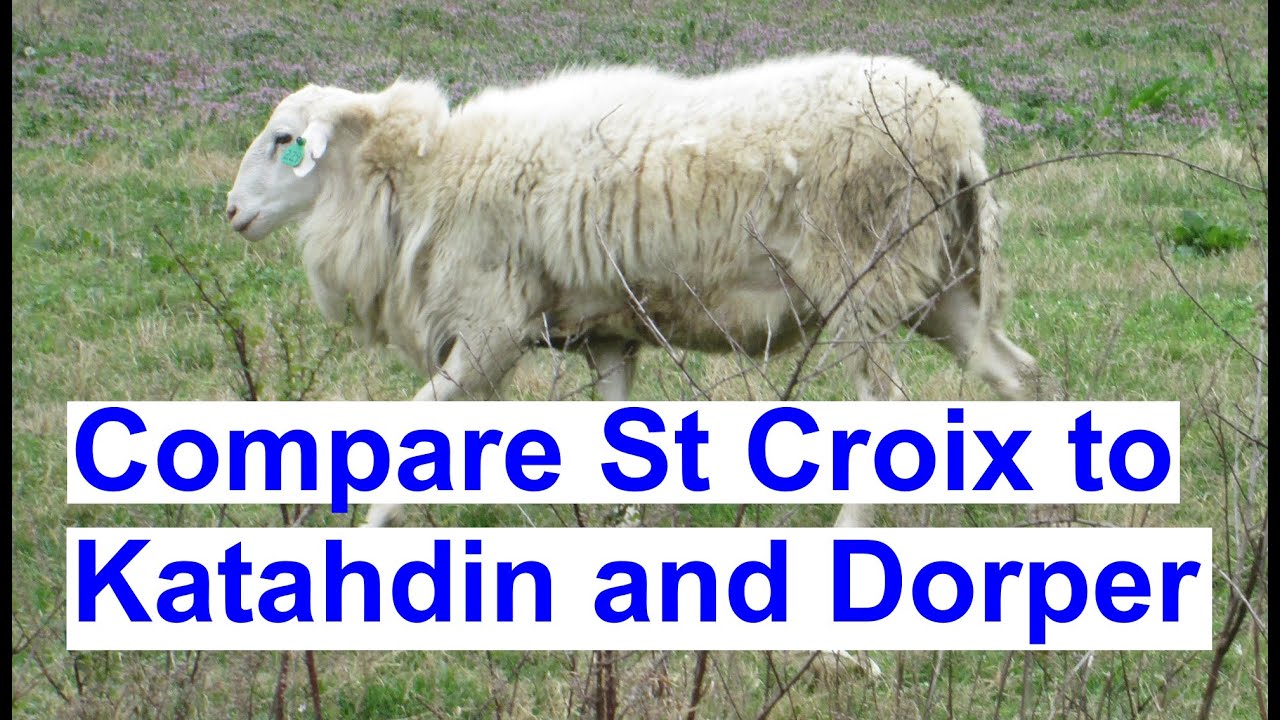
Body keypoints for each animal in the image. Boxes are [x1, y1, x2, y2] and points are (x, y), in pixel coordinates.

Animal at [225, 51, 1046, 532]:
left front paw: (362, 542)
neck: (427, 176)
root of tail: (960, 128)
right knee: (1018, 376)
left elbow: (410, 431)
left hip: (863, 275)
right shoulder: (608, 334)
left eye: (284, 141)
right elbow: (615, 437)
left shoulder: (490, 331)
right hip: (938, 285)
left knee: (891, 412)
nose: (231, 212)